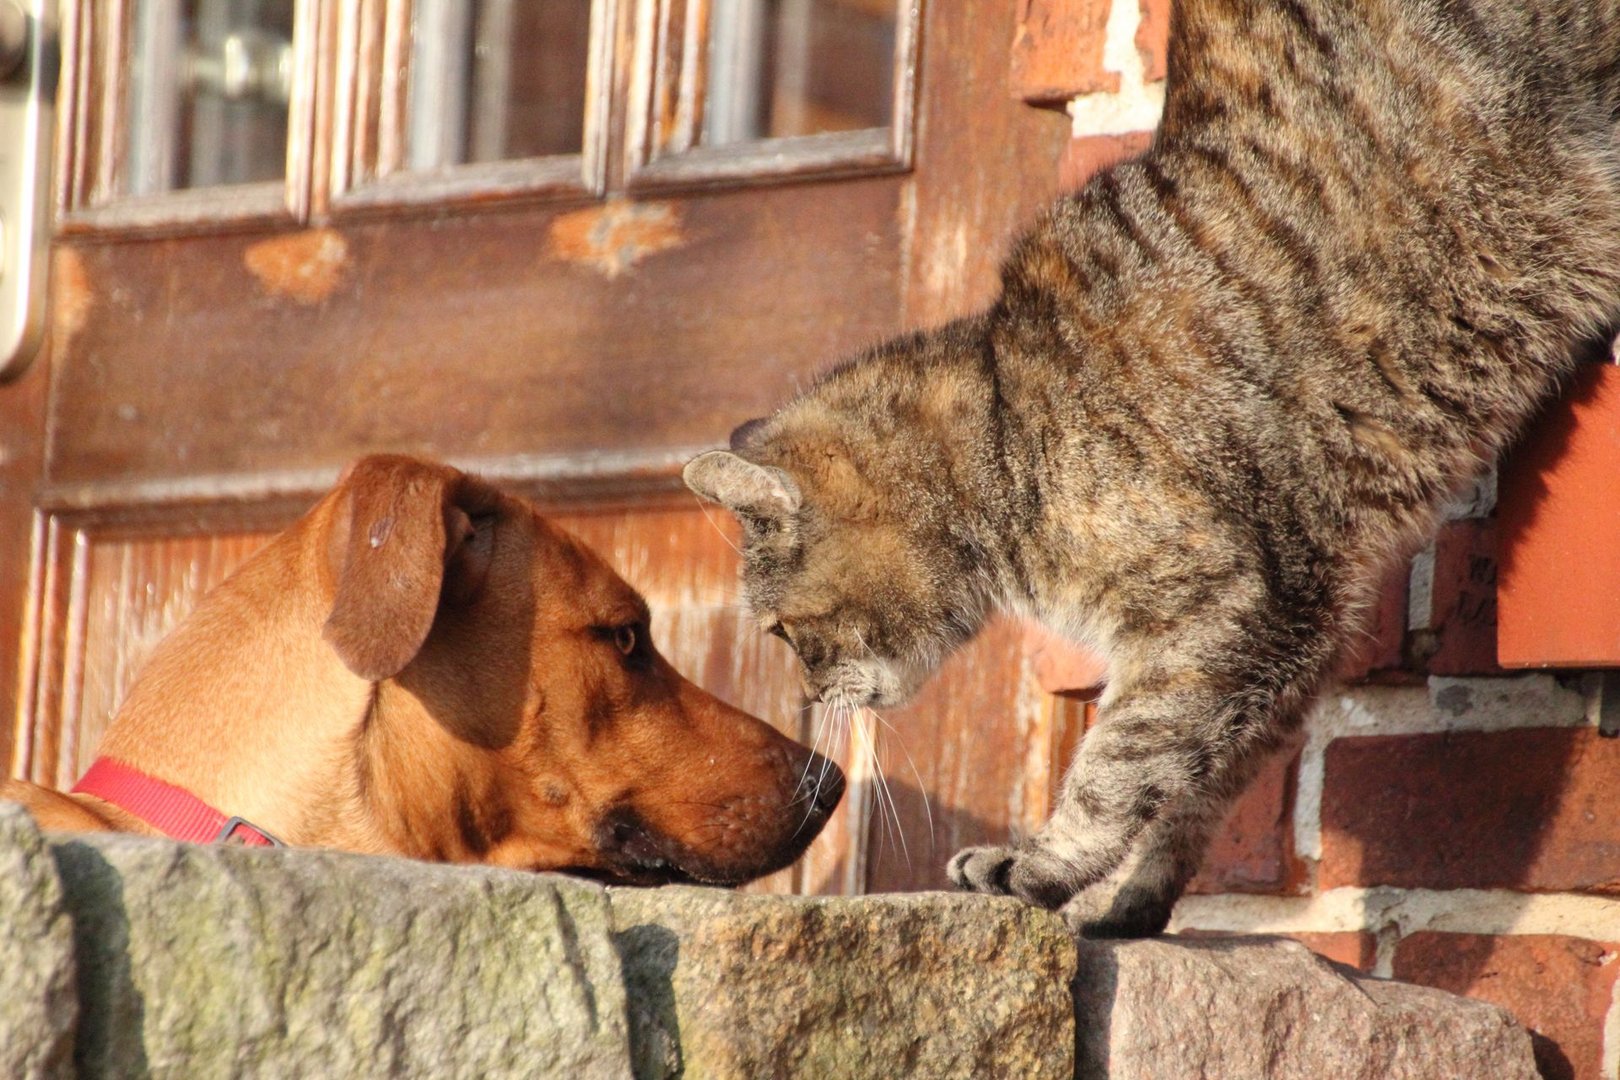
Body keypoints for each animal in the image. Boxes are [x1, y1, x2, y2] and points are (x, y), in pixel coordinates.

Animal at [680, 0, 1620, 939]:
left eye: (780, 632)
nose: (808, 696)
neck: (1009, 434)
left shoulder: (1222, 609)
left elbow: (1118, 764)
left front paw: (1042, 865)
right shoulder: (1291, 639)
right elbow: (1195, 790)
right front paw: (1130, 898)